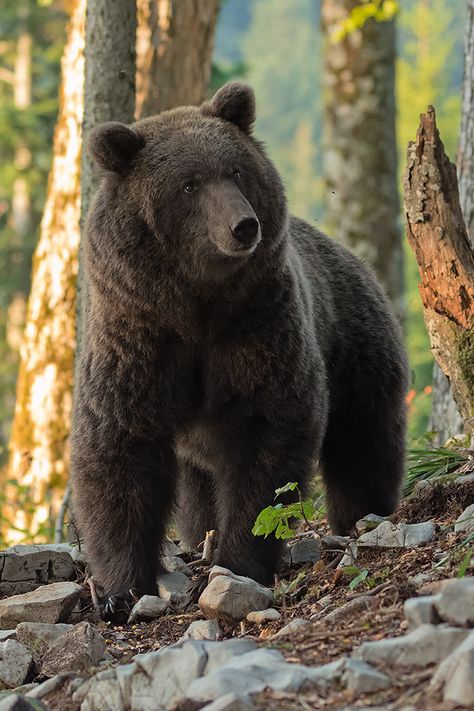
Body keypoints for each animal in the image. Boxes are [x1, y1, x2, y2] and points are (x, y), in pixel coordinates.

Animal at [72, 82, 410, 616]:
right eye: (188, 184)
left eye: (234, 170)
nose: (243, 225)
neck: (195, 305)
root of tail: (354, 259)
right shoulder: (139, 341)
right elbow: (120, 449)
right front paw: (120, 590)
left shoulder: (256, 328)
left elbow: (264, 440)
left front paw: (237, 563)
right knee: (198, 488)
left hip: (356, 353)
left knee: (363, 443)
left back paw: (362, 515)